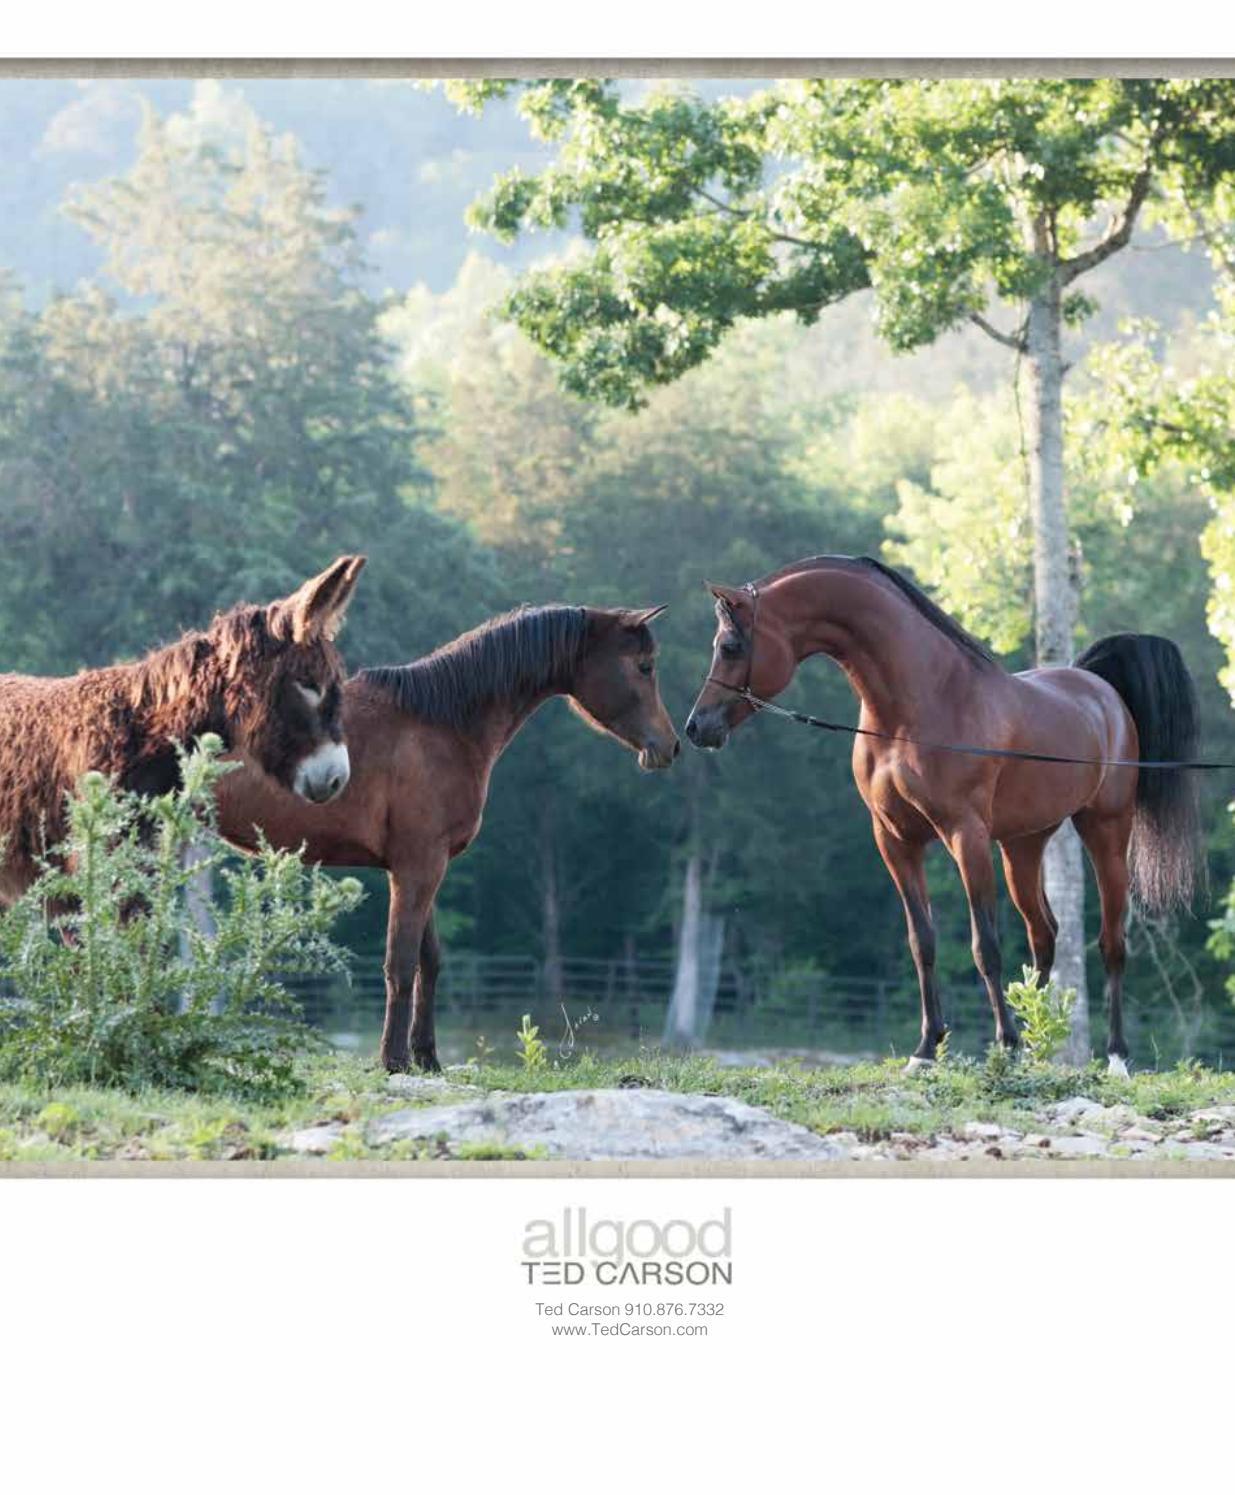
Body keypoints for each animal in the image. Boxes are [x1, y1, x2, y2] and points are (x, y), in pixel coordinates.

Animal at [215, 602, 681, 1071]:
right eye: (644, 666)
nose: (671, 745)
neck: (440, 722)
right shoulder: (418, 866)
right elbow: (401, 964)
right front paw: (394, 1059)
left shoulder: (424, 865)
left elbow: (430, 961)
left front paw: (426, 1056)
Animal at [684, 554, 1202, 1074]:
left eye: (730, 646)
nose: (696, 728)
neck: (915, 710)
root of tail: (1100, 690)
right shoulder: (895, 840)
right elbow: (923, 942)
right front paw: (927, 1048)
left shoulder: (964, 835)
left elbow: (985, 945)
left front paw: (1004, 1044)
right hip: (1022, 846)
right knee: (1045, 935)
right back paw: (1037, 1044)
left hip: (1105, 832)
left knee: (1111, 943)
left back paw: (1114, 1056)